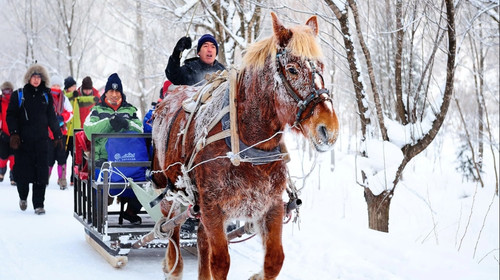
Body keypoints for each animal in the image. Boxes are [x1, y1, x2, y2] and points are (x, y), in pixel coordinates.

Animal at [151, 11, 340, 280]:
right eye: (292, 69)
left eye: (321, 67)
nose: (329, 128)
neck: (248, 147)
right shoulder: (212, 206)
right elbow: (220, 262)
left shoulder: (270, 205)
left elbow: (274, 261)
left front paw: (256, 275)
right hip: (169, 186)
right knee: (169, 227)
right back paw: (173, 266)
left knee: (200, 238)